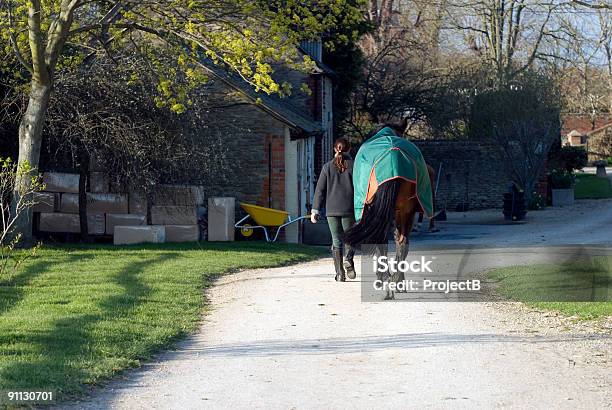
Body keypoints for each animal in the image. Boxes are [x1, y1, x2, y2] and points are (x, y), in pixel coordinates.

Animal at [344, 121, 436, 298]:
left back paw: (386, 281)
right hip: (405, 212)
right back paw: (396, 280)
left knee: (383, 240)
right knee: (402, 242)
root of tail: (394, 157)